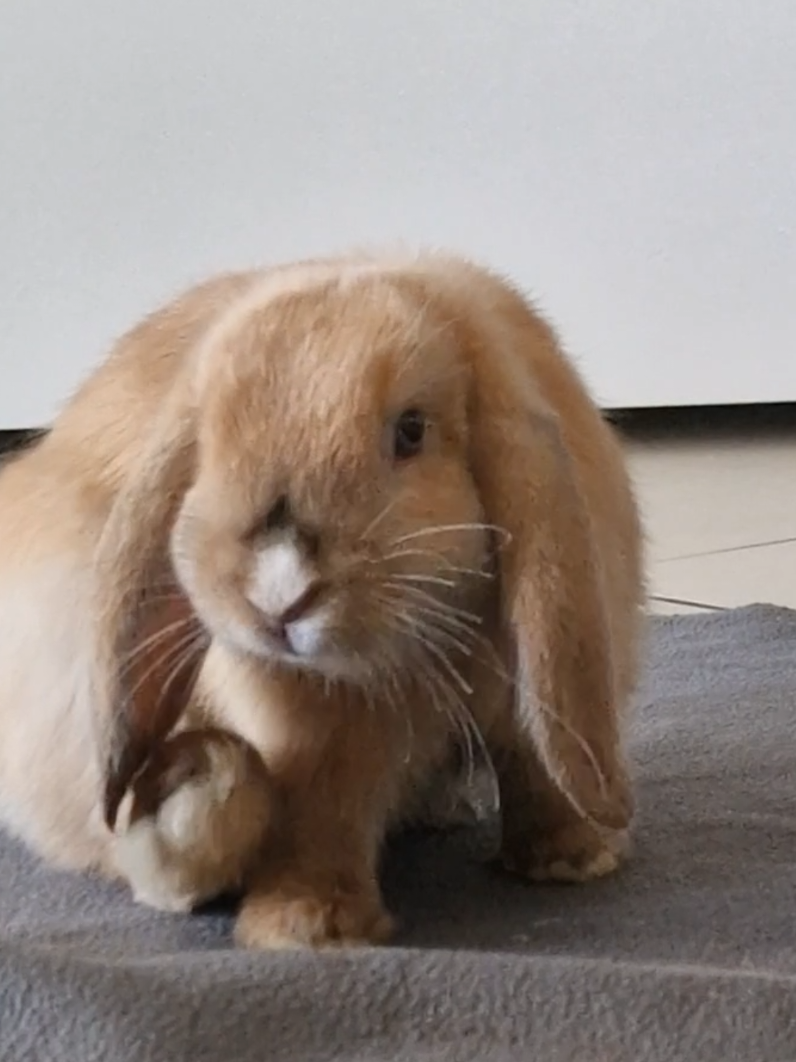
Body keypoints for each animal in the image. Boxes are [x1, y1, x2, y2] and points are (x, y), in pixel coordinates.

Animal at [0, 251, 644, 948]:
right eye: (210, 441)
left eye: (411, 431)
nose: (278, 596)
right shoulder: (313, 740)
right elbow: (322, 817)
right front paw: (310, 928)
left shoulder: (535, 688)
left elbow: (540, 763)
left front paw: (574, 859)